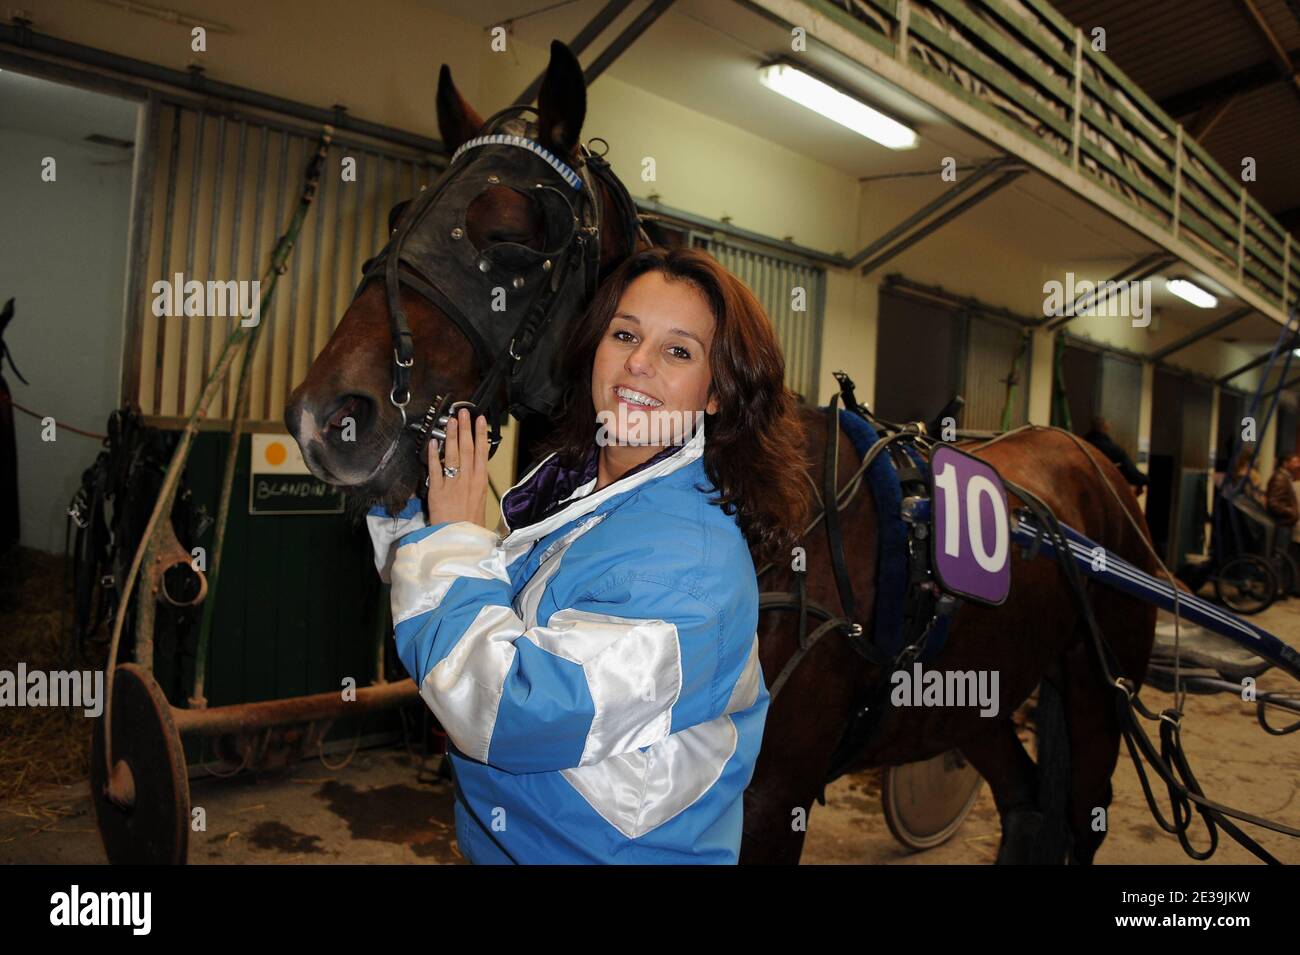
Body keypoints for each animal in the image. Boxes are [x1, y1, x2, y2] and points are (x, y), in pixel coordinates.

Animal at [287, 41, 1159, 867]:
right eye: (399, 211)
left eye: (509, 226)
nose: (326, 416)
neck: (769, 522)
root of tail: (1095, 469)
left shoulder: (774, 800)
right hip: (974, 701)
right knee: (1027, 805)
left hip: (1095, 698)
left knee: (1079, 809)